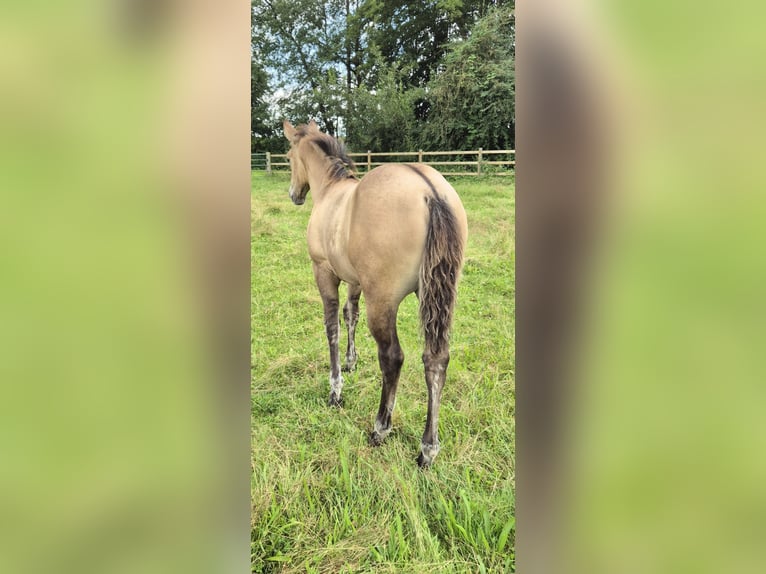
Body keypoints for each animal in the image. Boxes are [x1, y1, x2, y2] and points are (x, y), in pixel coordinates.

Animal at [282, 120, 468, 467]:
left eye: (288, 157)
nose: (294, 195)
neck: (331, 191)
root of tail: (430, 192)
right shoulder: (355, 281)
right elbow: (349, 315)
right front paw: (352, 362)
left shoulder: (324, 273)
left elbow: (332, 326)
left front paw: (336, 389)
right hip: (435, 296)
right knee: (436, 358)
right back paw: (428, 448)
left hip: (382, 301)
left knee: (392, 358)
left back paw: (381, 428)